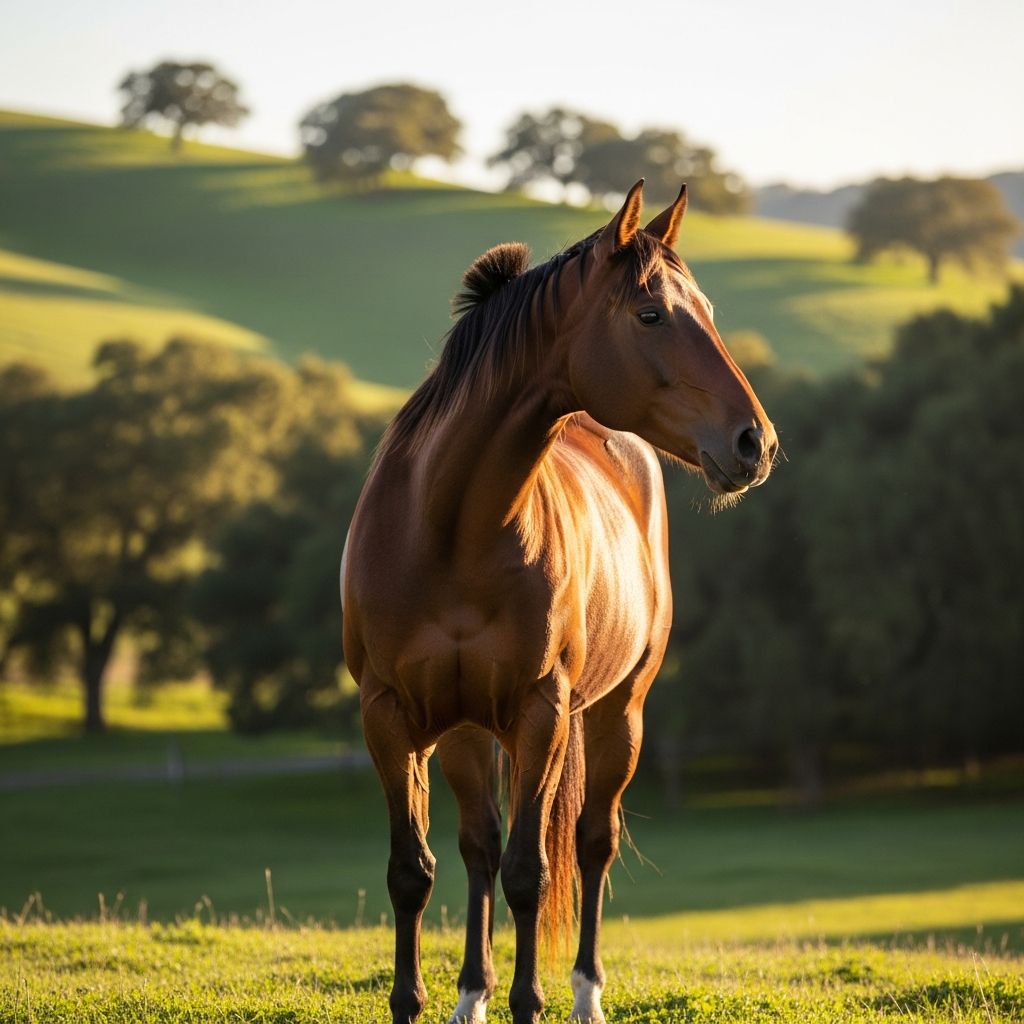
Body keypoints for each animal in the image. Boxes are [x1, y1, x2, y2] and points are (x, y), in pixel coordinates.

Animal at [341, 179, 776, 1024]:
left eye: (704, 309)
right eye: (651, 314)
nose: (756, 443)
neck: (448, 529)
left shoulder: (541, 713)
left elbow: (531, 871)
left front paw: (530, 1000)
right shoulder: (390, 716)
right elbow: (415, 871)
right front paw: (421, 1001)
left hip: (615, 715)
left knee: (589, 842)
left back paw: (584, 994)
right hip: (467, 732)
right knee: (478, 845)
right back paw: (470, 995)